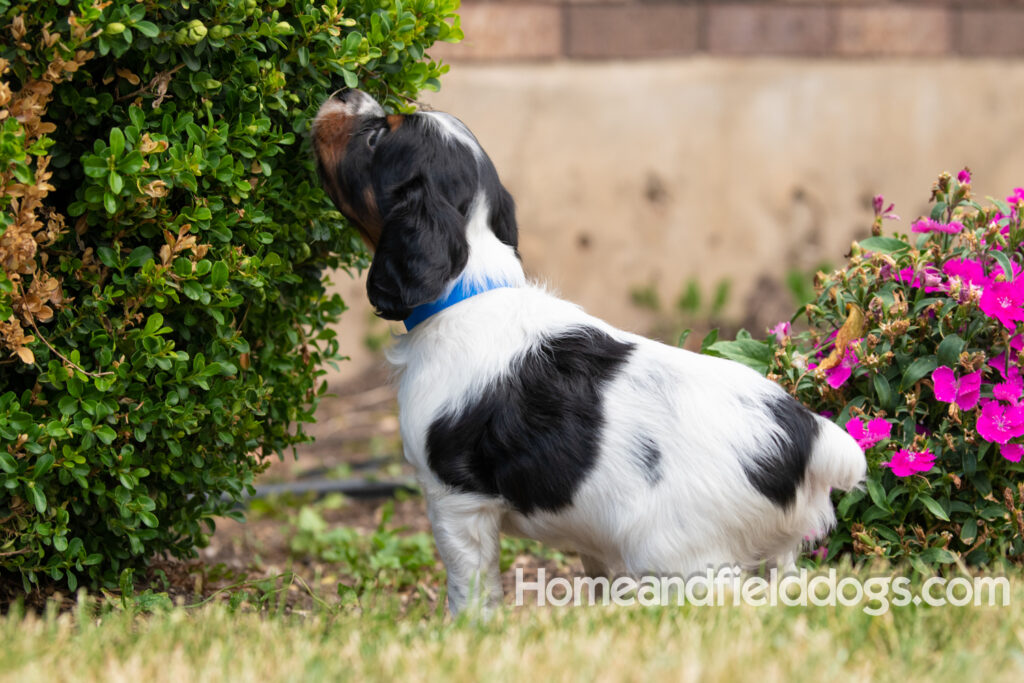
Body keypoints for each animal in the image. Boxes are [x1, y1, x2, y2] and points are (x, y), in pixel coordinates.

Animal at [309, 88, 864, 618]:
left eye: (377, 136)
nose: (342, 91)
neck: (468, 288)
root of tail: (809, 435)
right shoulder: (593, 537)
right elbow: (601, 583)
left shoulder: (455, 501)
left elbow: (470, 587)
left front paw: (464, 631)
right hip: (774, 553)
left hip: (681, 559)